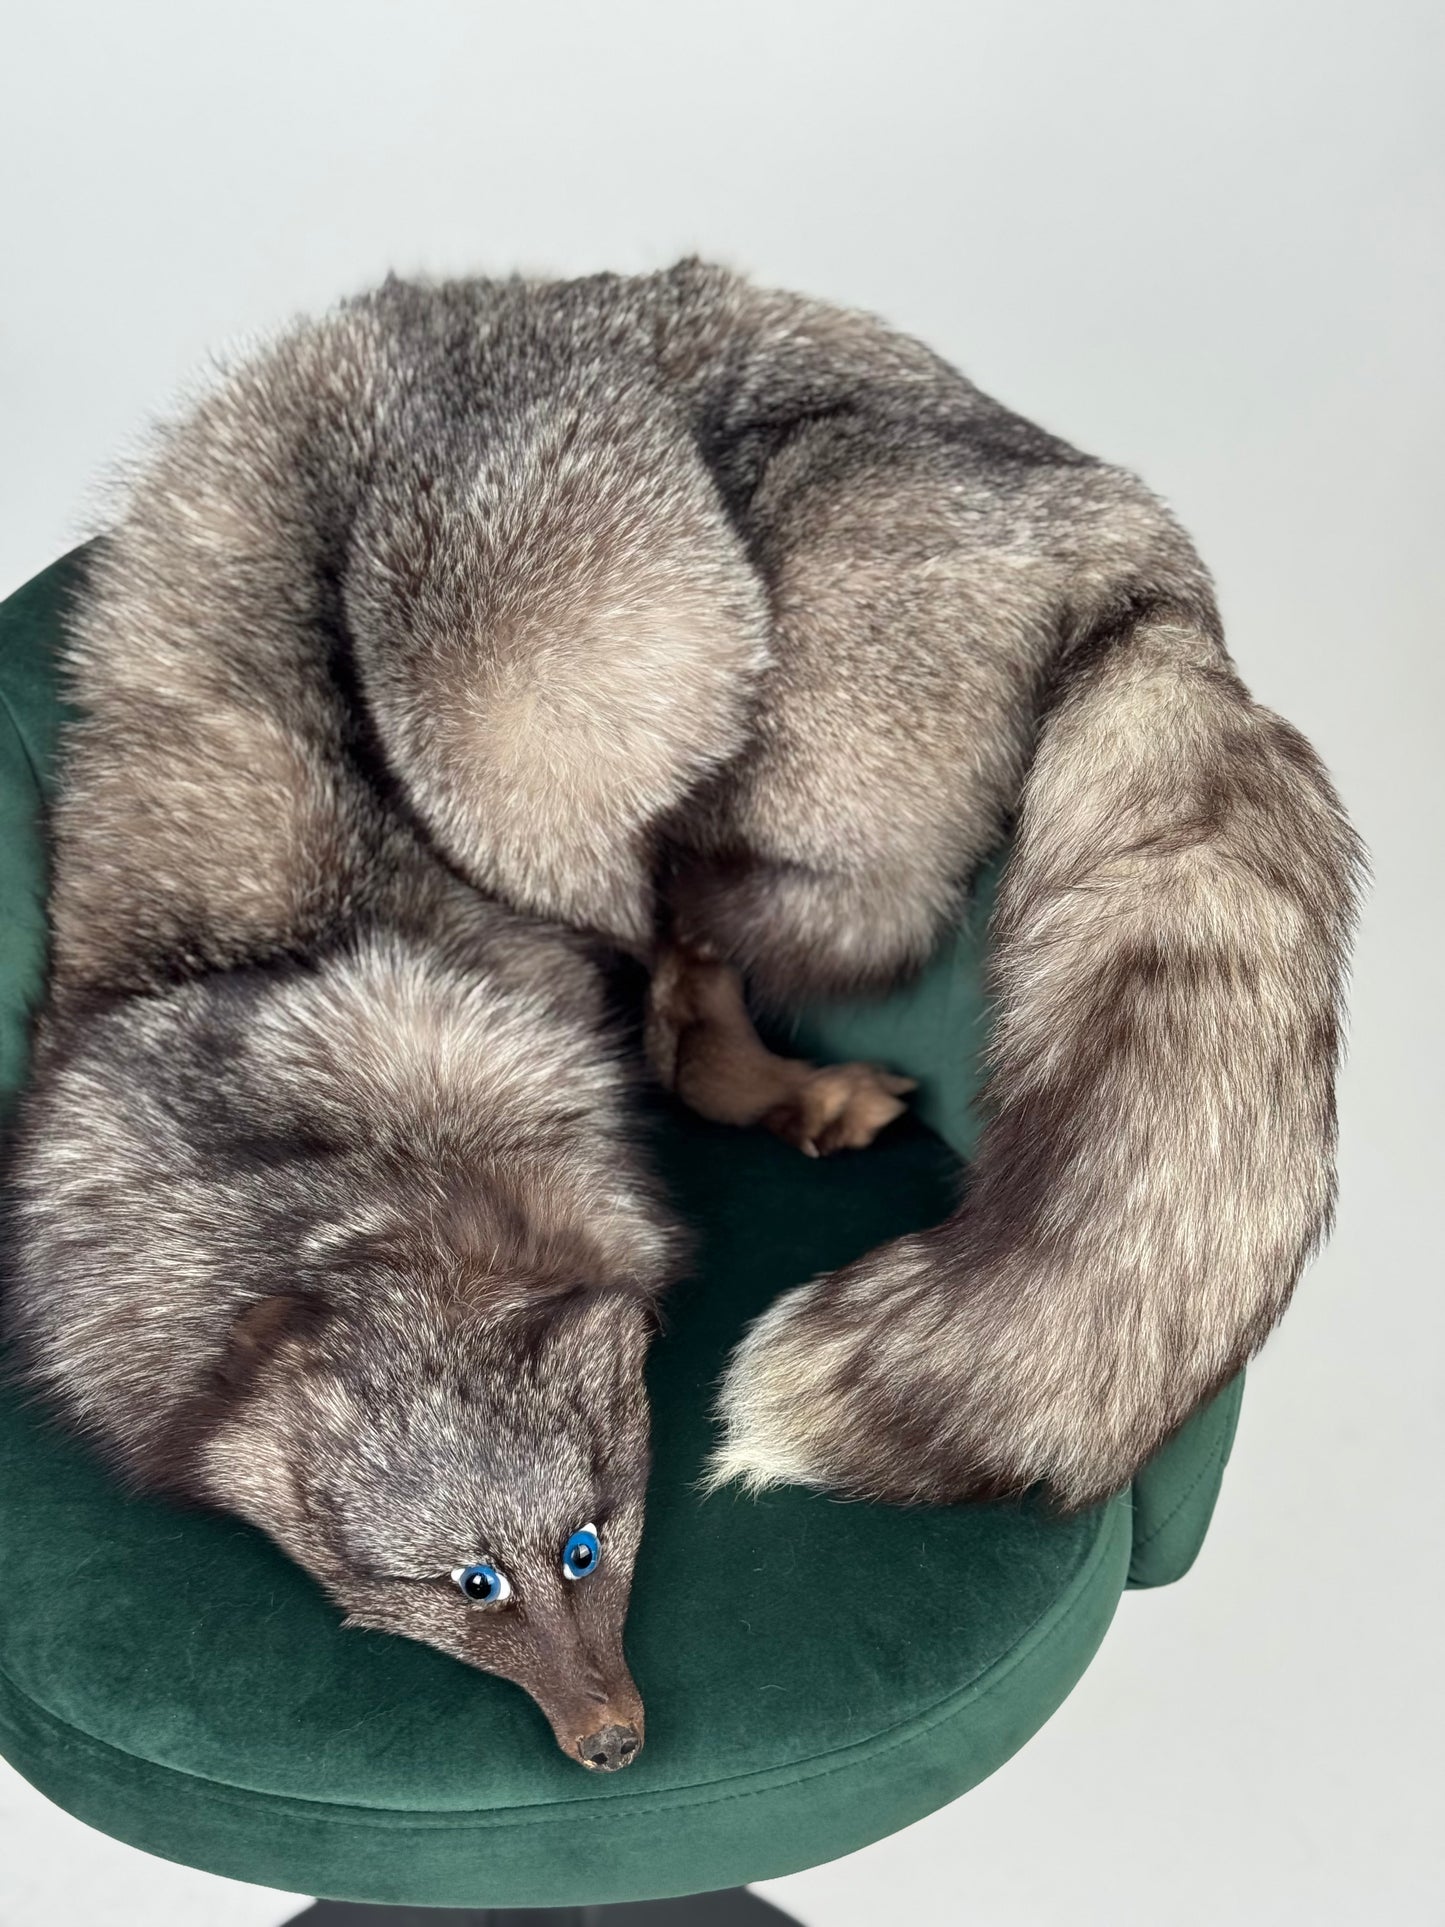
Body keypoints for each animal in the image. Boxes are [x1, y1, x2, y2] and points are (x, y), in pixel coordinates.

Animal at [3, 260, 1361, 1768]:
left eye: (585, 1548)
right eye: (467, 1586)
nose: (612, 1744)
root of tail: (1104, 503)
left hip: (524, 677)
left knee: (695, 918)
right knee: (701, 964)